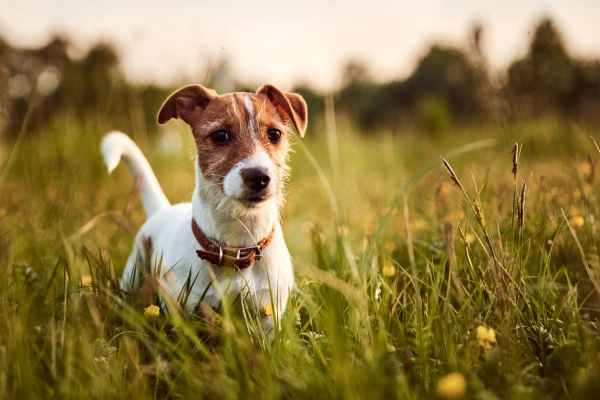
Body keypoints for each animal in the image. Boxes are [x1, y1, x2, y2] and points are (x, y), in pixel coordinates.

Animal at [101, 84, 308, 332]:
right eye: (220, 135)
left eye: (275, 134)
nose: (258, 177)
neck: (237, 247)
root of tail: (163, 209)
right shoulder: (187, 311)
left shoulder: (268, 314)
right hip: (133, 273)